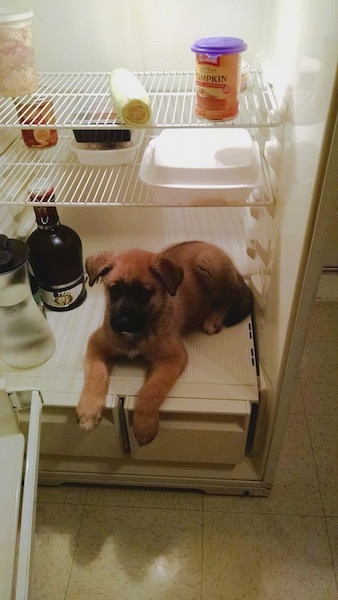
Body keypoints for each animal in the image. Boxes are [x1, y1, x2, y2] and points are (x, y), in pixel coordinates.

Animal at [76, 243, 251, 446]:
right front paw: (88, 411)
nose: (122, 323)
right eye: (115, 290)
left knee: (232, 296)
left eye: (142, 293)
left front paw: (144, 425)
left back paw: (214, 318)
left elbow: (151, 391)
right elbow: (95, 375)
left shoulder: (172, 358)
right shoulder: (97, 343)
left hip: (209, 265)